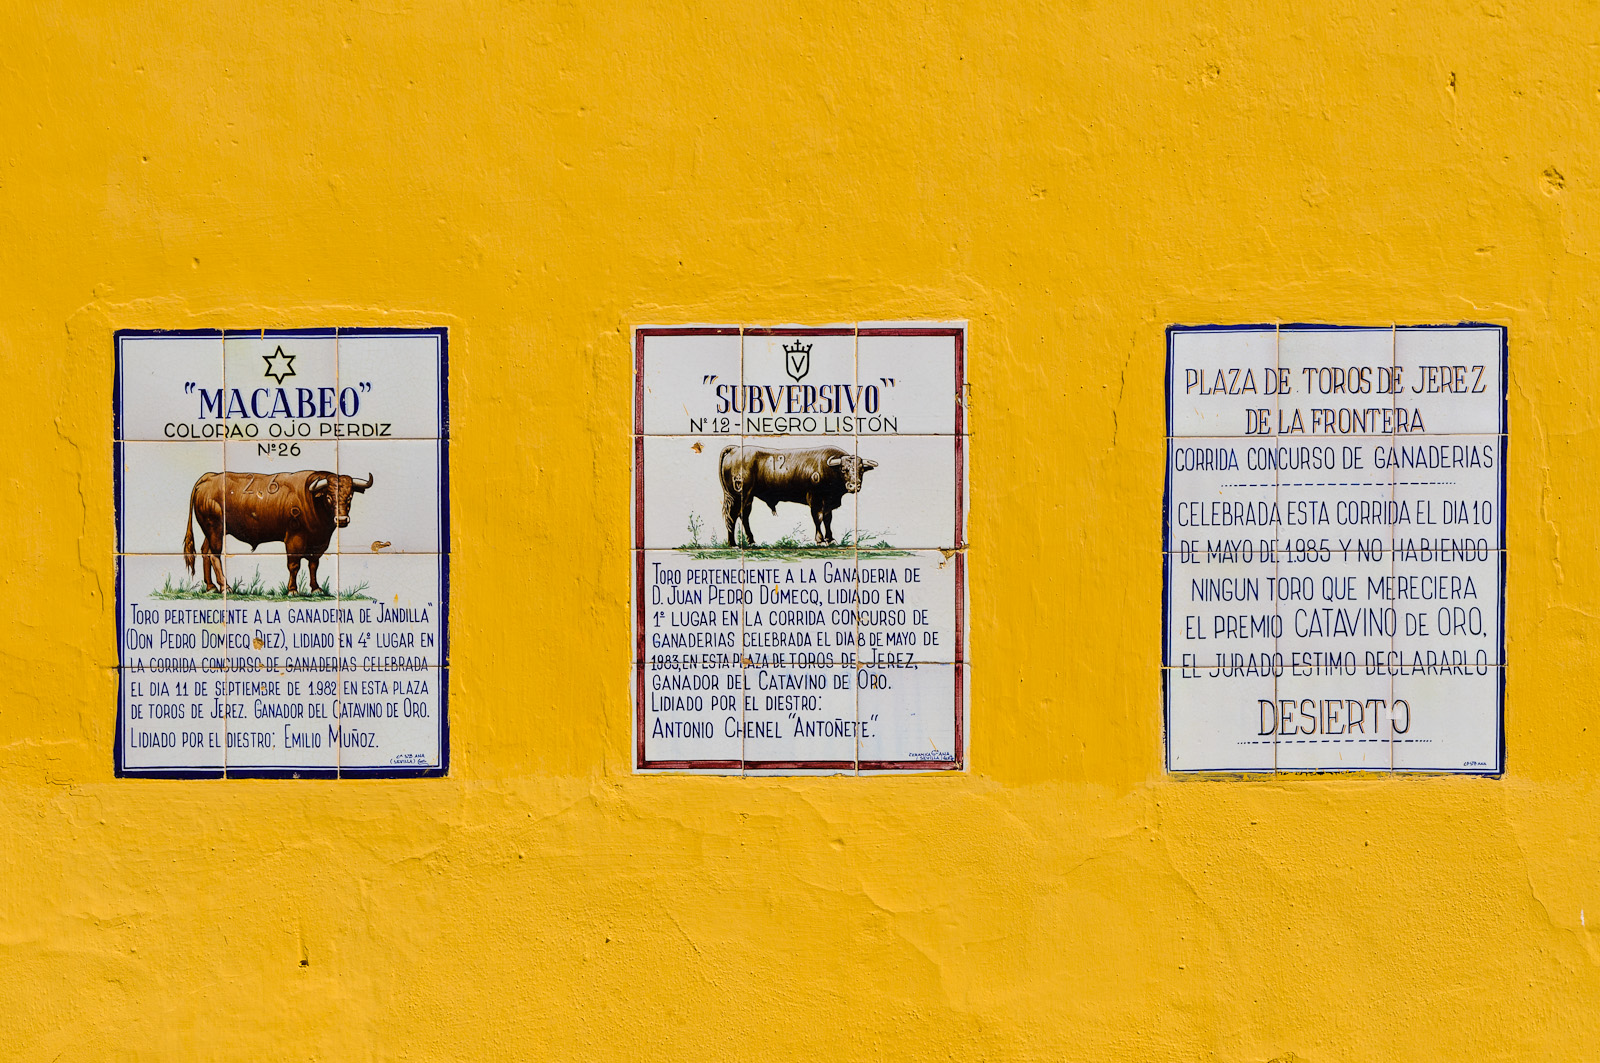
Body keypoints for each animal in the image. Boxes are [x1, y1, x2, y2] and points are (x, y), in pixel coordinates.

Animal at [180, 470, 371, 592]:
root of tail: (209, 477)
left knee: (205, 551)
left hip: (211, 531)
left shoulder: (318, 543)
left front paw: (316, 588)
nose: (342, 520)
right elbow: (294, 565)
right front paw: (292, 590)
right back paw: (225, 586)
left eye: (350, 496)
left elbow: (313, 565)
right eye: (329, 497)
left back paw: (211, 587)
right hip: (215, 528)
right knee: (215, 555)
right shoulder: (294, 538)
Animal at [723, 441, 883, 547]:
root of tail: (735, 449)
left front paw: (830, 539)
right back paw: (733, 544)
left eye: (861, 470)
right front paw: (820, 540)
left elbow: (828, 519)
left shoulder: (828, 503)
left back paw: (751, 541)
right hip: (738, 496)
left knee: (744, 516)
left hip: (748, 498)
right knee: (732, 516)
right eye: (844, 469)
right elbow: (818, 518)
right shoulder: (815, 499)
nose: (854, 486)